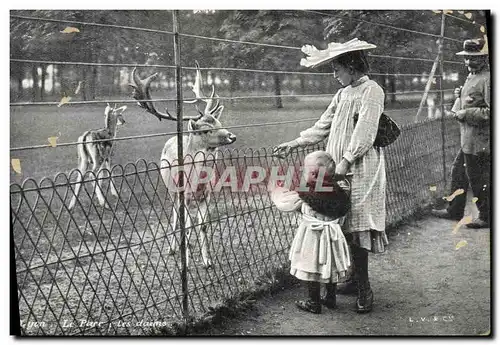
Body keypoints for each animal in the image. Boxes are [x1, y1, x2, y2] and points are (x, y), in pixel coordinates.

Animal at [130, 62, 237, 266]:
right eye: (206, 130)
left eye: (219, 122)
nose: (232, 136)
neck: (197, 181)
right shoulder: (183, 194)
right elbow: (185, 226)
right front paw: (185, 261)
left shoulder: (207, 194)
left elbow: (203, 225)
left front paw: (207, 261)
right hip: (171, 189)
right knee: (175, 216)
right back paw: (173, 248)